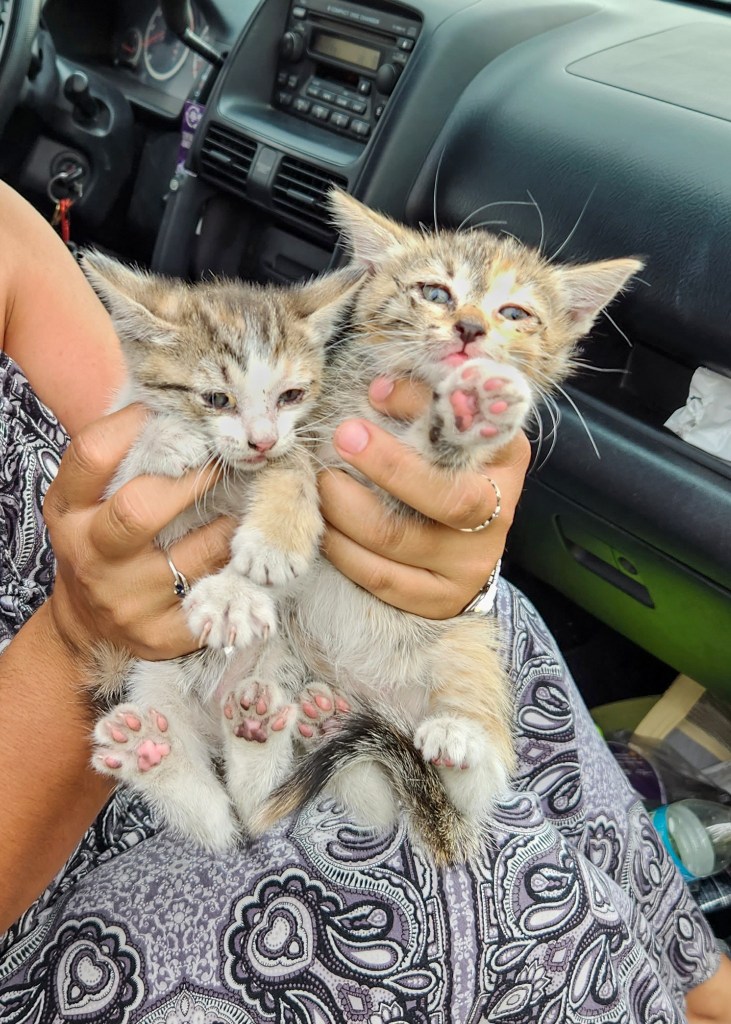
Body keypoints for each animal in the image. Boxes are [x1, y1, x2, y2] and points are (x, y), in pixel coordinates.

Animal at [82, 253, 358, 847]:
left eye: (291, 396)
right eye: (216, 399)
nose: (260, 439)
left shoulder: (295, 446)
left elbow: (295, 468)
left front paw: (250, 573)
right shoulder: (114, 493)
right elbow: (128, 471)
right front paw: (165, 437)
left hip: (282, 660)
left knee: (250, 807)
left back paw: (270, 726)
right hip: (153, 679)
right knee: (217, 824)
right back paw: (146, 753)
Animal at [239, 192, 638, 864]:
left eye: (514, 313)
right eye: (434, 292)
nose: (471, 329)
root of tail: (368, 695)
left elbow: (439, 458)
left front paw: (468, 415)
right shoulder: (304, 420)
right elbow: (287, 464)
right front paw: (274, 536)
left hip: (466, 646)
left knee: (476, 782)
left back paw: (457, 739)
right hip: (289, 654)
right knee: (358, 795)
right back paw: (312, 716)